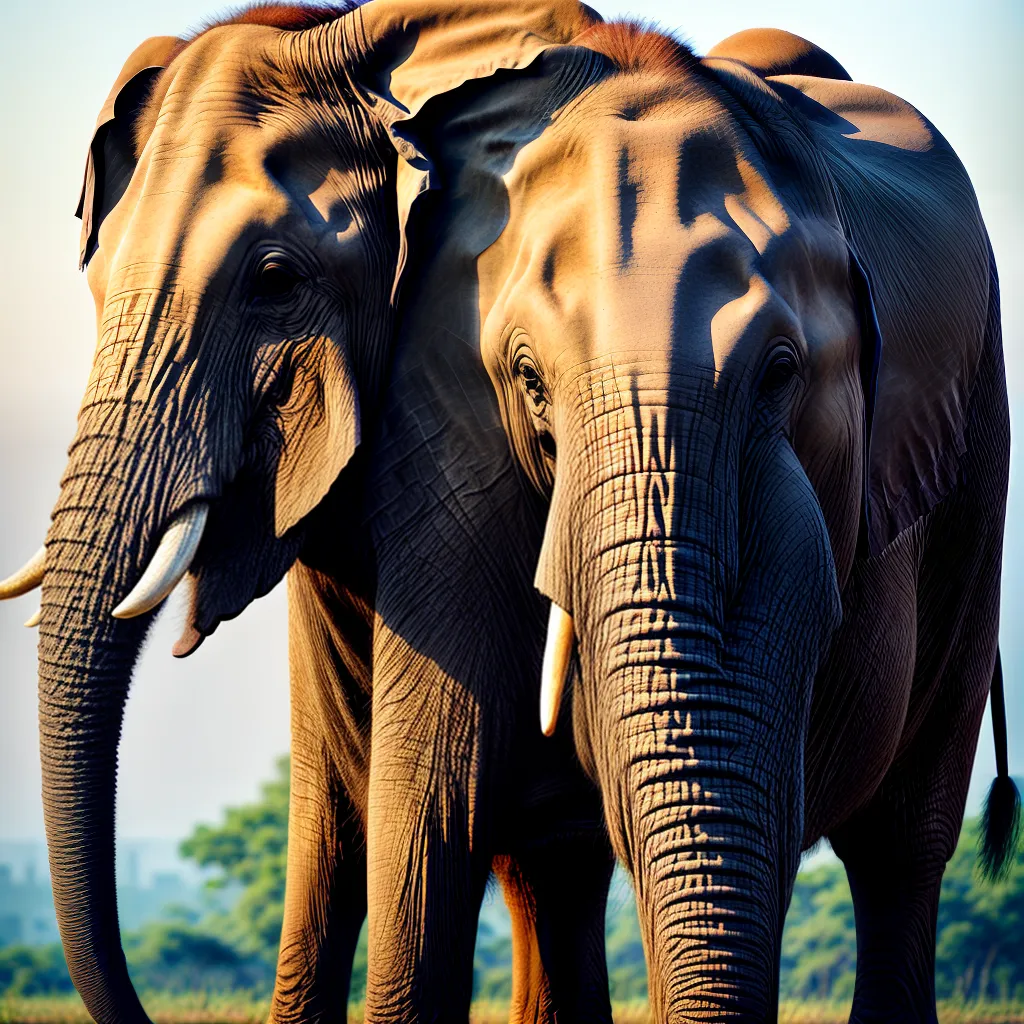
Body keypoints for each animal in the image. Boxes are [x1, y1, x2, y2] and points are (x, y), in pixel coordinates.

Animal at [360, 17, 1020, 1021]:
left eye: (782, 372)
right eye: (529, 380)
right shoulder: (439, 424)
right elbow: (442, 784)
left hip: (981, 454)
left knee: (903, 845)